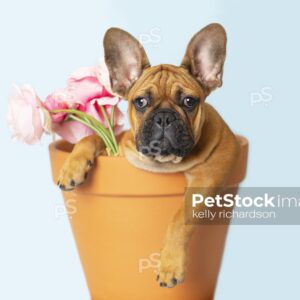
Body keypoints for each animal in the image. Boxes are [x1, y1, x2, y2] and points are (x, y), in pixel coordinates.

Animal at [57, 24, 240, 288]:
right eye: (141, 101)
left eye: (189, 101)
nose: (164, 116)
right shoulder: (119, 144)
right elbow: (91, 138)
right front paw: (73, 166)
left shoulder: (207, 177)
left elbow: (180, 217)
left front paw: (169, 265)